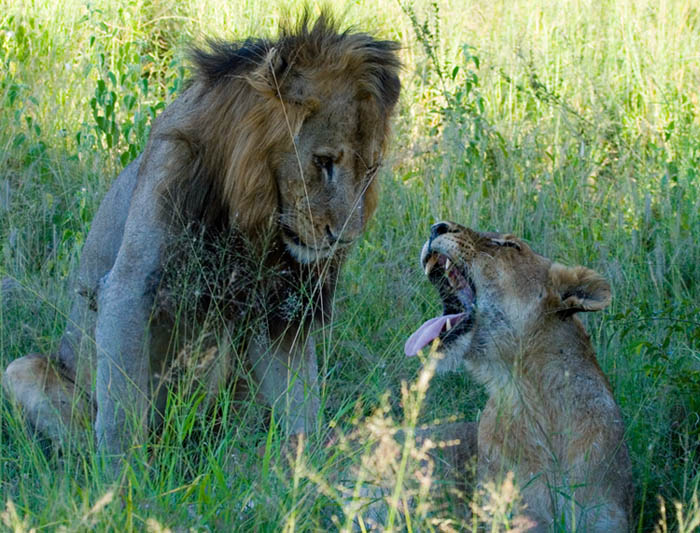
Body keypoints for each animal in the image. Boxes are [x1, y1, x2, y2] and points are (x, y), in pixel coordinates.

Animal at [1, 14, 400, 460]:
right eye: (323, 161)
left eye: (371, 170)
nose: (344, 238)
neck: (249, 209)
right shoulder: (128, 285)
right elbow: (121, 415)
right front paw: (122, 477)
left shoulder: (280, 310)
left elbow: (300, 399)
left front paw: (306, 467)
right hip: (21, 370)